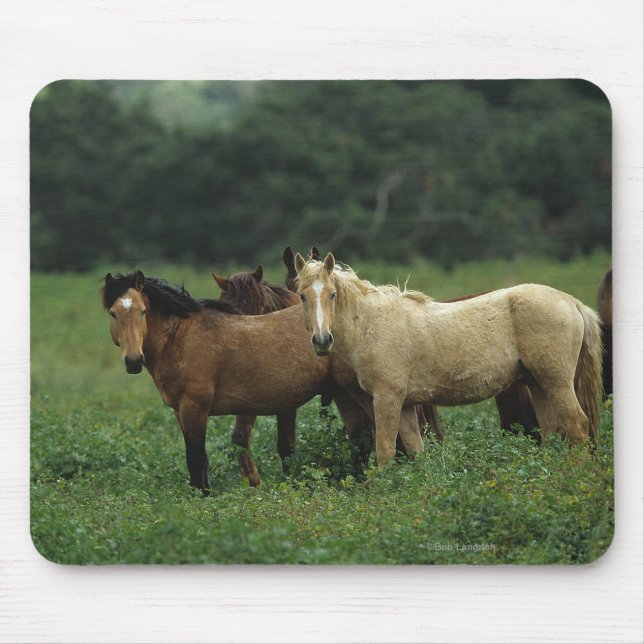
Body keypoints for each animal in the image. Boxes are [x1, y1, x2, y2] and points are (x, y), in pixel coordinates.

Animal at [102, 270, 378, 493]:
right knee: (360, 437)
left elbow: (196, 459)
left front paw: (203, 497)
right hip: (344, 393)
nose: (133, 360)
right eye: (113, 313)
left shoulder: (194, 408)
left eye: (143, 312)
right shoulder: (180, 412)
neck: (180, 337)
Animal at [294, 253, 603, 467]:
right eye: (302, 296)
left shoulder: (386, 399)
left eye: (332, 295)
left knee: (577, 426)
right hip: (538, 385)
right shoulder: (406, 406)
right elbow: (416, 451)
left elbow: (385, 452)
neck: (372, 324)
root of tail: (572, 302)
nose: (322, 341)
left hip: (557, 382)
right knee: (552, 433)